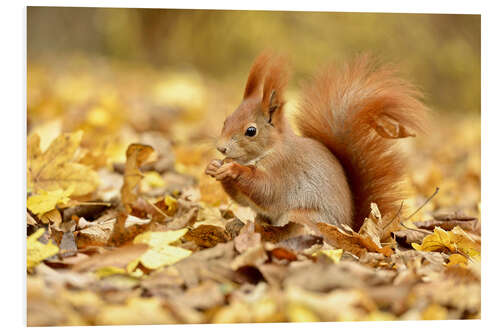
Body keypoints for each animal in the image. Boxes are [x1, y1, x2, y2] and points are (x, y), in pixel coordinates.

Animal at [205, 52, 428, 236]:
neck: (271, 149)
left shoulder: (284, 170)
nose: (221, 148)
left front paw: (233, 169)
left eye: (251, 131)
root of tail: (349, 230)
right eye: (226, 121)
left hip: (302, 217)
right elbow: (243, 199)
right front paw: (213, 166)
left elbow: (266, 190)